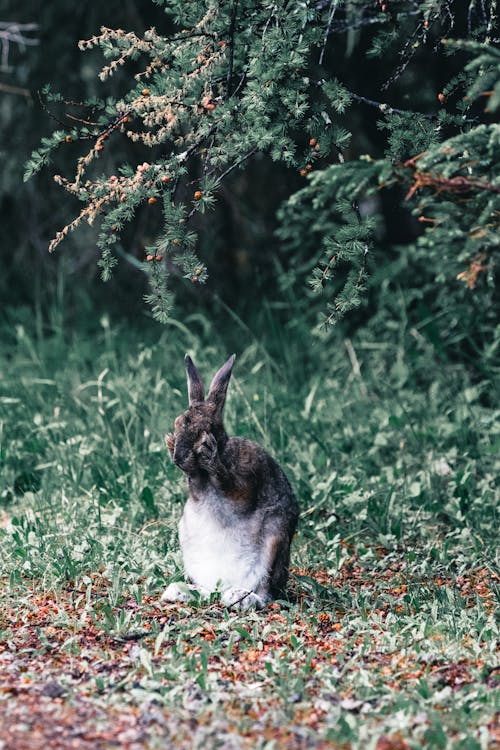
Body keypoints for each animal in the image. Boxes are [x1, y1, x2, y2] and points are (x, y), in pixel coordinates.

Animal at [162, 354, 298, 612]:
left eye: (205, 429)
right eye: (177, 423)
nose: (178, 457)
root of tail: (223, 583)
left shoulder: (247, 479)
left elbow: (231, 485)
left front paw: (210, 455)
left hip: (274, 542)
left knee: (265, 593)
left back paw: (239, 597)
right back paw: (181, 592)